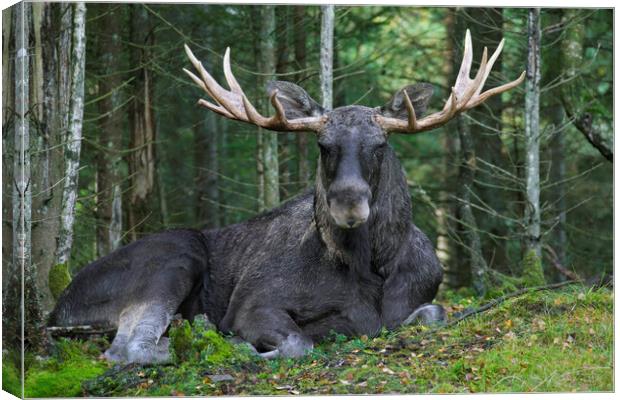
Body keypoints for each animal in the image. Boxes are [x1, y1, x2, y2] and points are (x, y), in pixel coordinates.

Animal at [49, 29, 524, 364]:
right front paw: (246, 344)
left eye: (380, 145)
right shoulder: (252, 305)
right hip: (173, 256)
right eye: (323, 146)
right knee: (126, 349)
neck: (371, 267)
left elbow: (432, 314)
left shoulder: (417, 302)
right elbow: (299, 341)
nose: (348, 203)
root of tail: (57, 310)